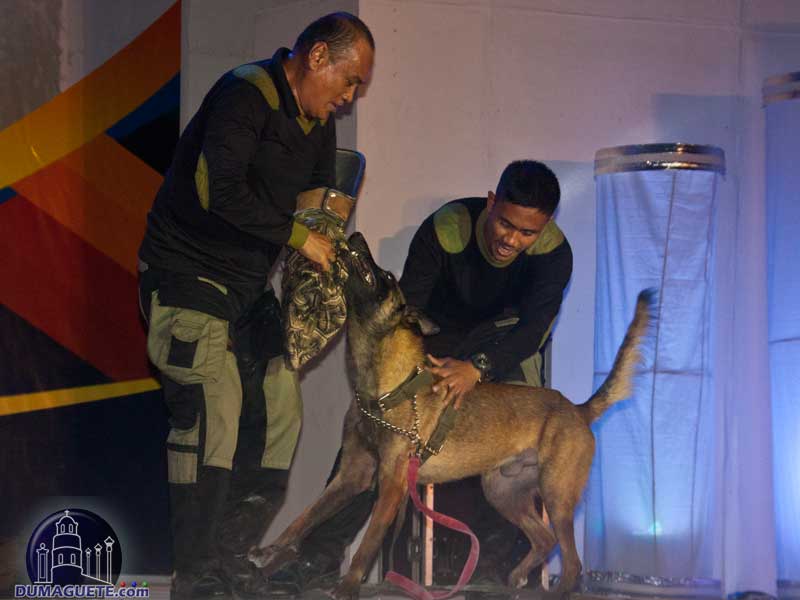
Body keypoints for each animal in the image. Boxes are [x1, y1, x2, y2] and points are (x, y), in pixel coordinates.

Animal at [252, 233, 656, 600]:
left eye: (386, 276)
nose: (355, 235)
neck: (381, 383)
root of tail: (578, 408)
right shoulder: (352, 476)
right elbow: (304, 518)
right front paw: (270, 553)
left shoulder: (392, 484)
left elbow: (367, 543)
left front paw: (348, 586)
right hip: (502, 493)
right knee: (543, 540)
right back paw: (514, 579)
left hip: (556, 495)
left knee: (571, 561)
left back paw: (555, 590)